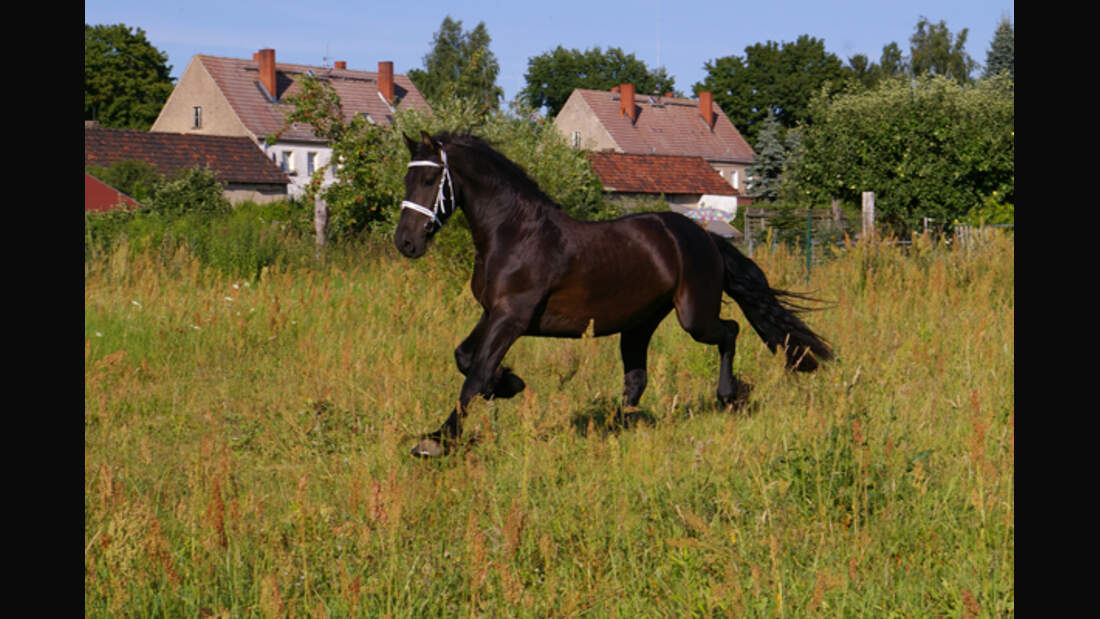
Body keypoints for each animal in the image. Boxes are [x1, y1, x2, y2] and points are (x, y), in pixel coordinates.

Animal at [391, 130, 827, 457]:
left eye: (429, 180)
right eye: (407, 179)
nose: (406, 242)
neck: (514, 234)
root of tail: (703, 237)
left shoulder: (512, 315)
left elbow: (476, 374)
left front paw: (437, 441)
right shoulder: (492, 312)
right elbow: (465, 358)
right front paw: (509, 383)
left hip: (694, 317)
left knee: (731, 330)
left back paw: (728, 396)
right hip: (639, 324)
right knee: (637, 379)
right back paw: (617, 428)